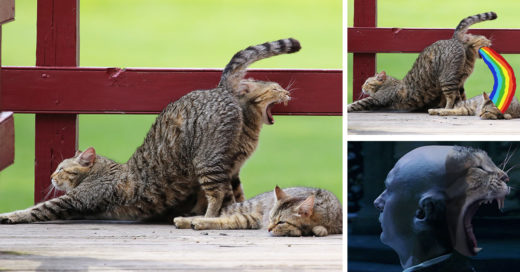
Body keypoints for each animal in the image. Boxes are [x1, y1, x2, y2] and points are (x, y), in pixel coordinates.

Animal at [0, 38, 300, 225]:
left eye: (61, 169)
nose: (52, 176)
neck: (105, 169)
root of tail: (219, 90)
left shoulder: (75, 201)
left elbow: (36, 209)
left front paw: (11, 215)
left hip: (207, 161)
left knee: (216, 194)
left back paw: (205, 217)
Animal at [174, 186, 342, 237]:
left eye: (281, 222)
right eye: (272, 218)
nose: (268, 228)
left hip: (249, 219)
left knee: (224, 220)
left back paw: (193, 222)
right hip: (246, 208)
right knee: (216, 215)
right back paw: (185, 220)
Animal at [348, 11, 498, 112]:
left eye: (367, 82)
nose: (362, 87)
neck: (390, 83)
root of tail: (453, 40)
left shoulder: (377, 99)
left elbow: (357, 103)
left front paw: (349, 106)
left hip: (446, 78)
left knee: (451, 96)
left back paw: (446, 108)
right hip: (462, 71)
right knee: (473, 40)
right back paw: (484, 42)